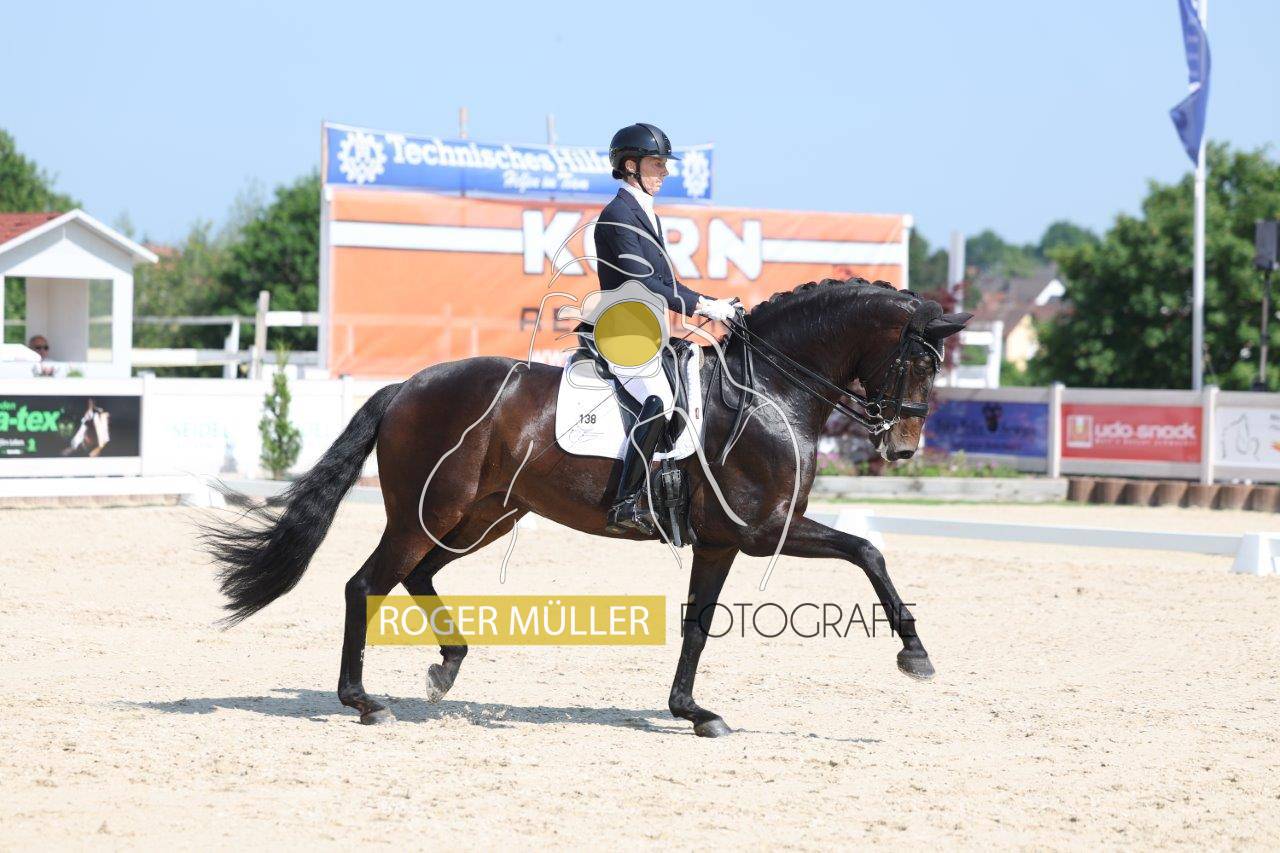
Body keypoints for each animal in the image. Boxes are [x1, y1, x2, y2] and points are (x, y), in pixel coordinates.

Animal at [206, 277, 971, 737]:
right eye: (918, 363)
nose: (903, 446)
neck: (769, 392)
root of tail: (407, 387)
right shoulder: (762, 529)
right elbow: (869, 550)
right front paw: (916, 654)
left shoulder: (722, 540)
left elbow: (697, 626)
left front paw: (693, 712)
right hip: (435, 512)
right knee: (365, 583)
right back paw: (364, 701)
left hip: (481, 517)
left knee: (413, 576)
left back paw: (446, 666)